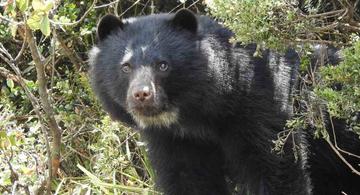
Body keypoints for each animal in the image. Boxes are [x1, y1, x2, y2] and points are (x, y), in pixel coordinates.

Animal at [89, 8, 360, 193]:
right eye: (125, 67)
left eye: (163, 65)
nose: (142, 95)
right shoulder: (172, 138)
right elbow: (188, 178)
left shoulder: (262, 107)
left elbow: (278, 167)